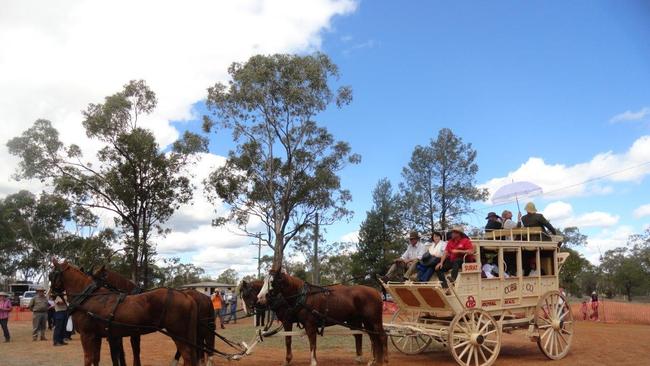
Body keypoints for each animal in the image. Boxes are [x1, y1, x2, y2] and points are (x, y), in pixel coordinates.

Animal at [49, 260, 197, 366]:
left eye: (51, 276)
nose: (50, 294)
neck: (89, 297)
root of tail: (186, 295)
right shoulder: (98, 336)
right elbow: (97, 358)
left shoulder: (88, 335)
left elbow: (89, 359)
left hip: (177, 333)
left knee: (187, 356)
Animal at [256, 268, 388, 366]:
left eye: (272, 282)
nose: (260, 298)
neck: (304, 296)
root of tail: (376, 292)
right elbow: (290, 340)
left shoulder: (309, 325)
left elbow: (312, 343)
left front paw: (313, 362)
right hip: (366, 322)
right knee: (373, 338)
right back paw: (373, 361)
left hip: (374, 320)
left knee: (382, 336)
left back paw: (384, 361)